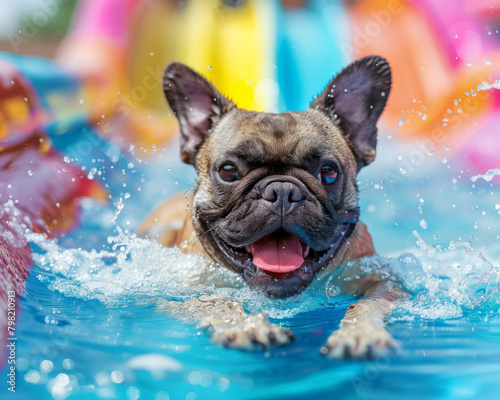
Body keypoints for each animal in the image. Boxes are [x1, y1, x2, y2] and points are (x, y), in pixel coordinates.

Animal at [139, 55, 408, 360]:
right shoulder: (178, 292)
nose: (281, 191)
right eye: (228, 171)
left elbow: (367, 304)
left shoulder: (386, 282)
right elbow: (215, 300)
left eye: (328, 172)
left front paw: (361, 333)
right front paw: (246, 326)